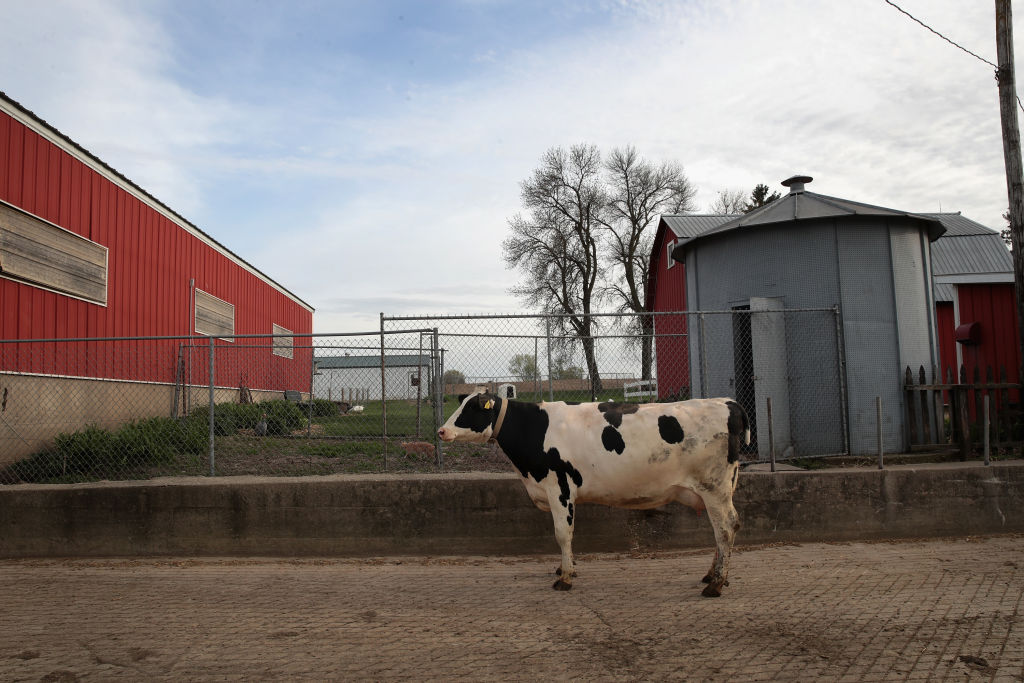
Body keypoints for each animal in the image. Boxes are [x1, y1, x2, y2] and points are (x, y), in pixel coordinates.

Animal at [436, 393, 749, 593]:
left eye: (470, 409)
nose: (441, 431)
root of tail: (728, 402)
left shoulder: (559, 487)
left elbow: (563, 533)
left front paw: (565, 577)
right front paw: (567, 568)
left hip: (715, 487)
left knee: (725, 528)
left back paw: (716, 584)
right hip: (717, 490)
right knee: (720, 531)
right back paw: (712, 575)